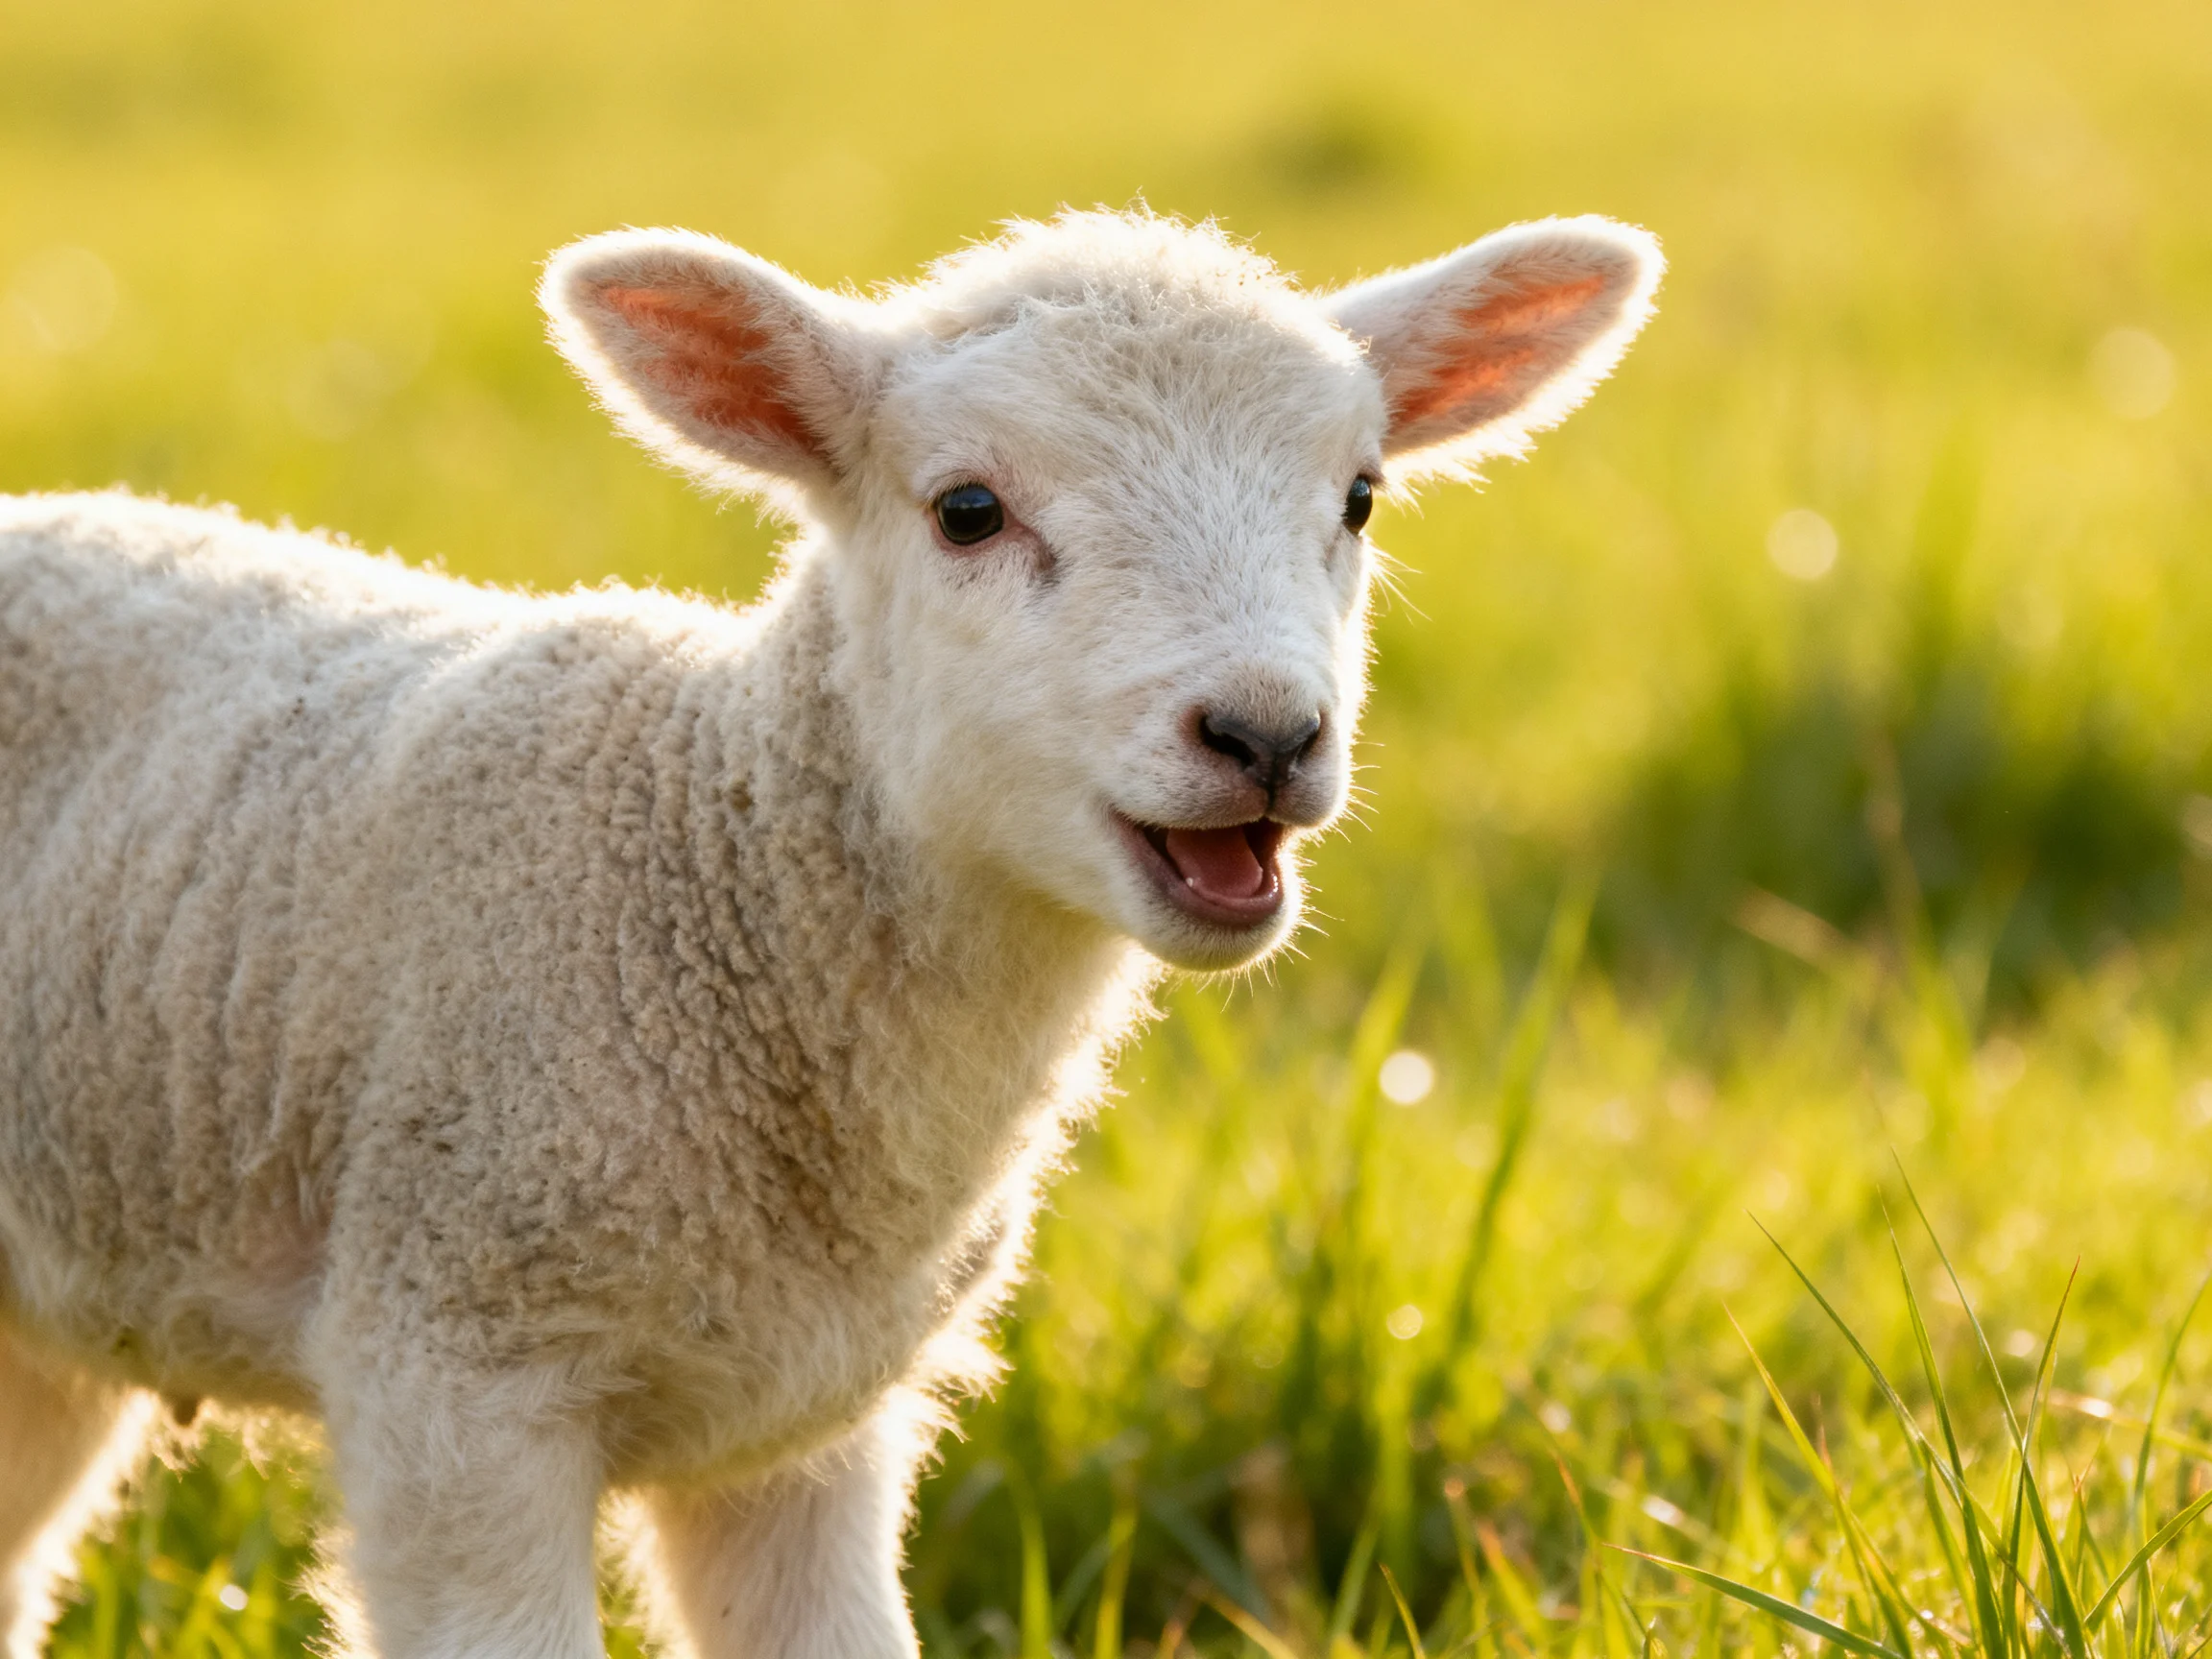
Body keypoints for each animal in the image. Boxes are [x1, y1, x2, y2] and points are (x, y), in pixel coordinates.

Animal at [0, 207, 1660, 1659]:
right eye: (968, 512)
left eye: (1361, 498)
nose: (1266, 735)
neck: (714, 877)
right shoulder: (455, 1361)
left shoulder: (804, 1429)